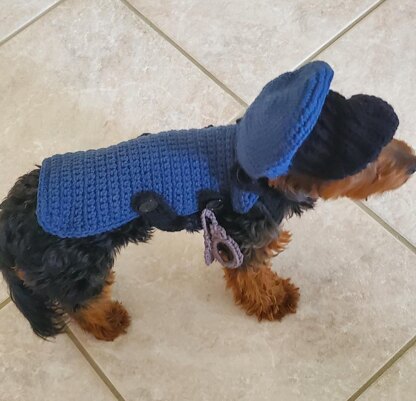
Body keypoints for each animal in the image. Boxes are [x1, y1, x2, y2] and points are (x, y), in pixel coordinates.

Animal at [0, 61, 416, 340]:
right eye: (367, 161)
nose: (413, 162)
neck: (248, 169)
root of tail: (8, 218)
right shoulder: (240, 239)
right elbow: (252, 277)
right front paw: (272, 301)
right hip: (77, 269)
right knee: (79, 303)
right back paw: (109, 322)